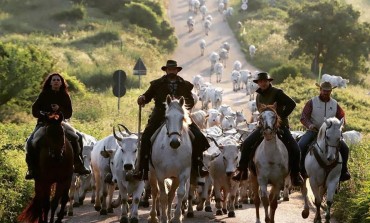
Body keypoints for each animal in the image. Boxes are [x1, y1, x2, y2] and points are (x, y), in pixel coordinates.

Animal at [148, 94, 194, 223]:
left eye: (182, 118)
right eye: (166, 117)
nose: (175, 142)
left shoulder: (183, 173)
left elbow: (180, 193)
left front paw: (177, 217)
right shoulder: (160, 174)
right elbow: (162, 196)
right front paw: (163, 218)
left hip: (175, 178)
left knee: (172, 194)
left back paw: (169, 215)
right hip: (152, 174)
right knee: (155, 192)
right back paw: (153, 216)